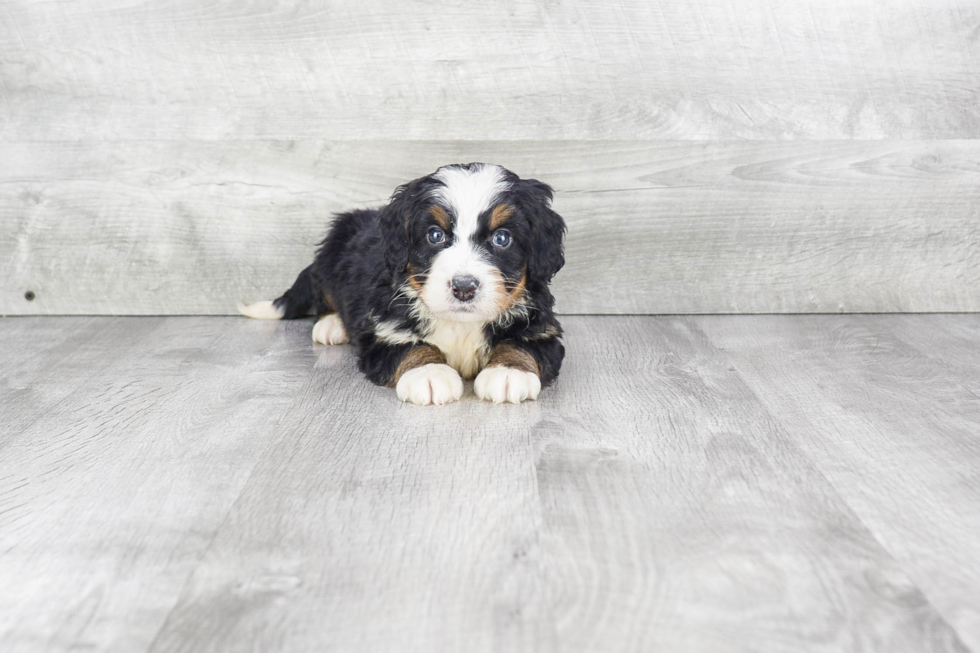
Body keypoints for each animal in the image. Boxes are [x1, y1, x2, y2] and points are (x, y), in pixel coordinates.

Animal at [238, 163, 572, 404]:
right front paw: (429, 373)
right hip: (332, 255)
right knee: (326, 295)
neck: (461, 325)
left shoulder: (543, 328)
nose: (464, 287)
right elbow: (409, 346)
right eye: (435, 235)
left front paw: (507, 372)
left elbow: (521, 344)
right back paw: (331, 324)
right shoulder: (383, 327)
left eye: (502, 238)